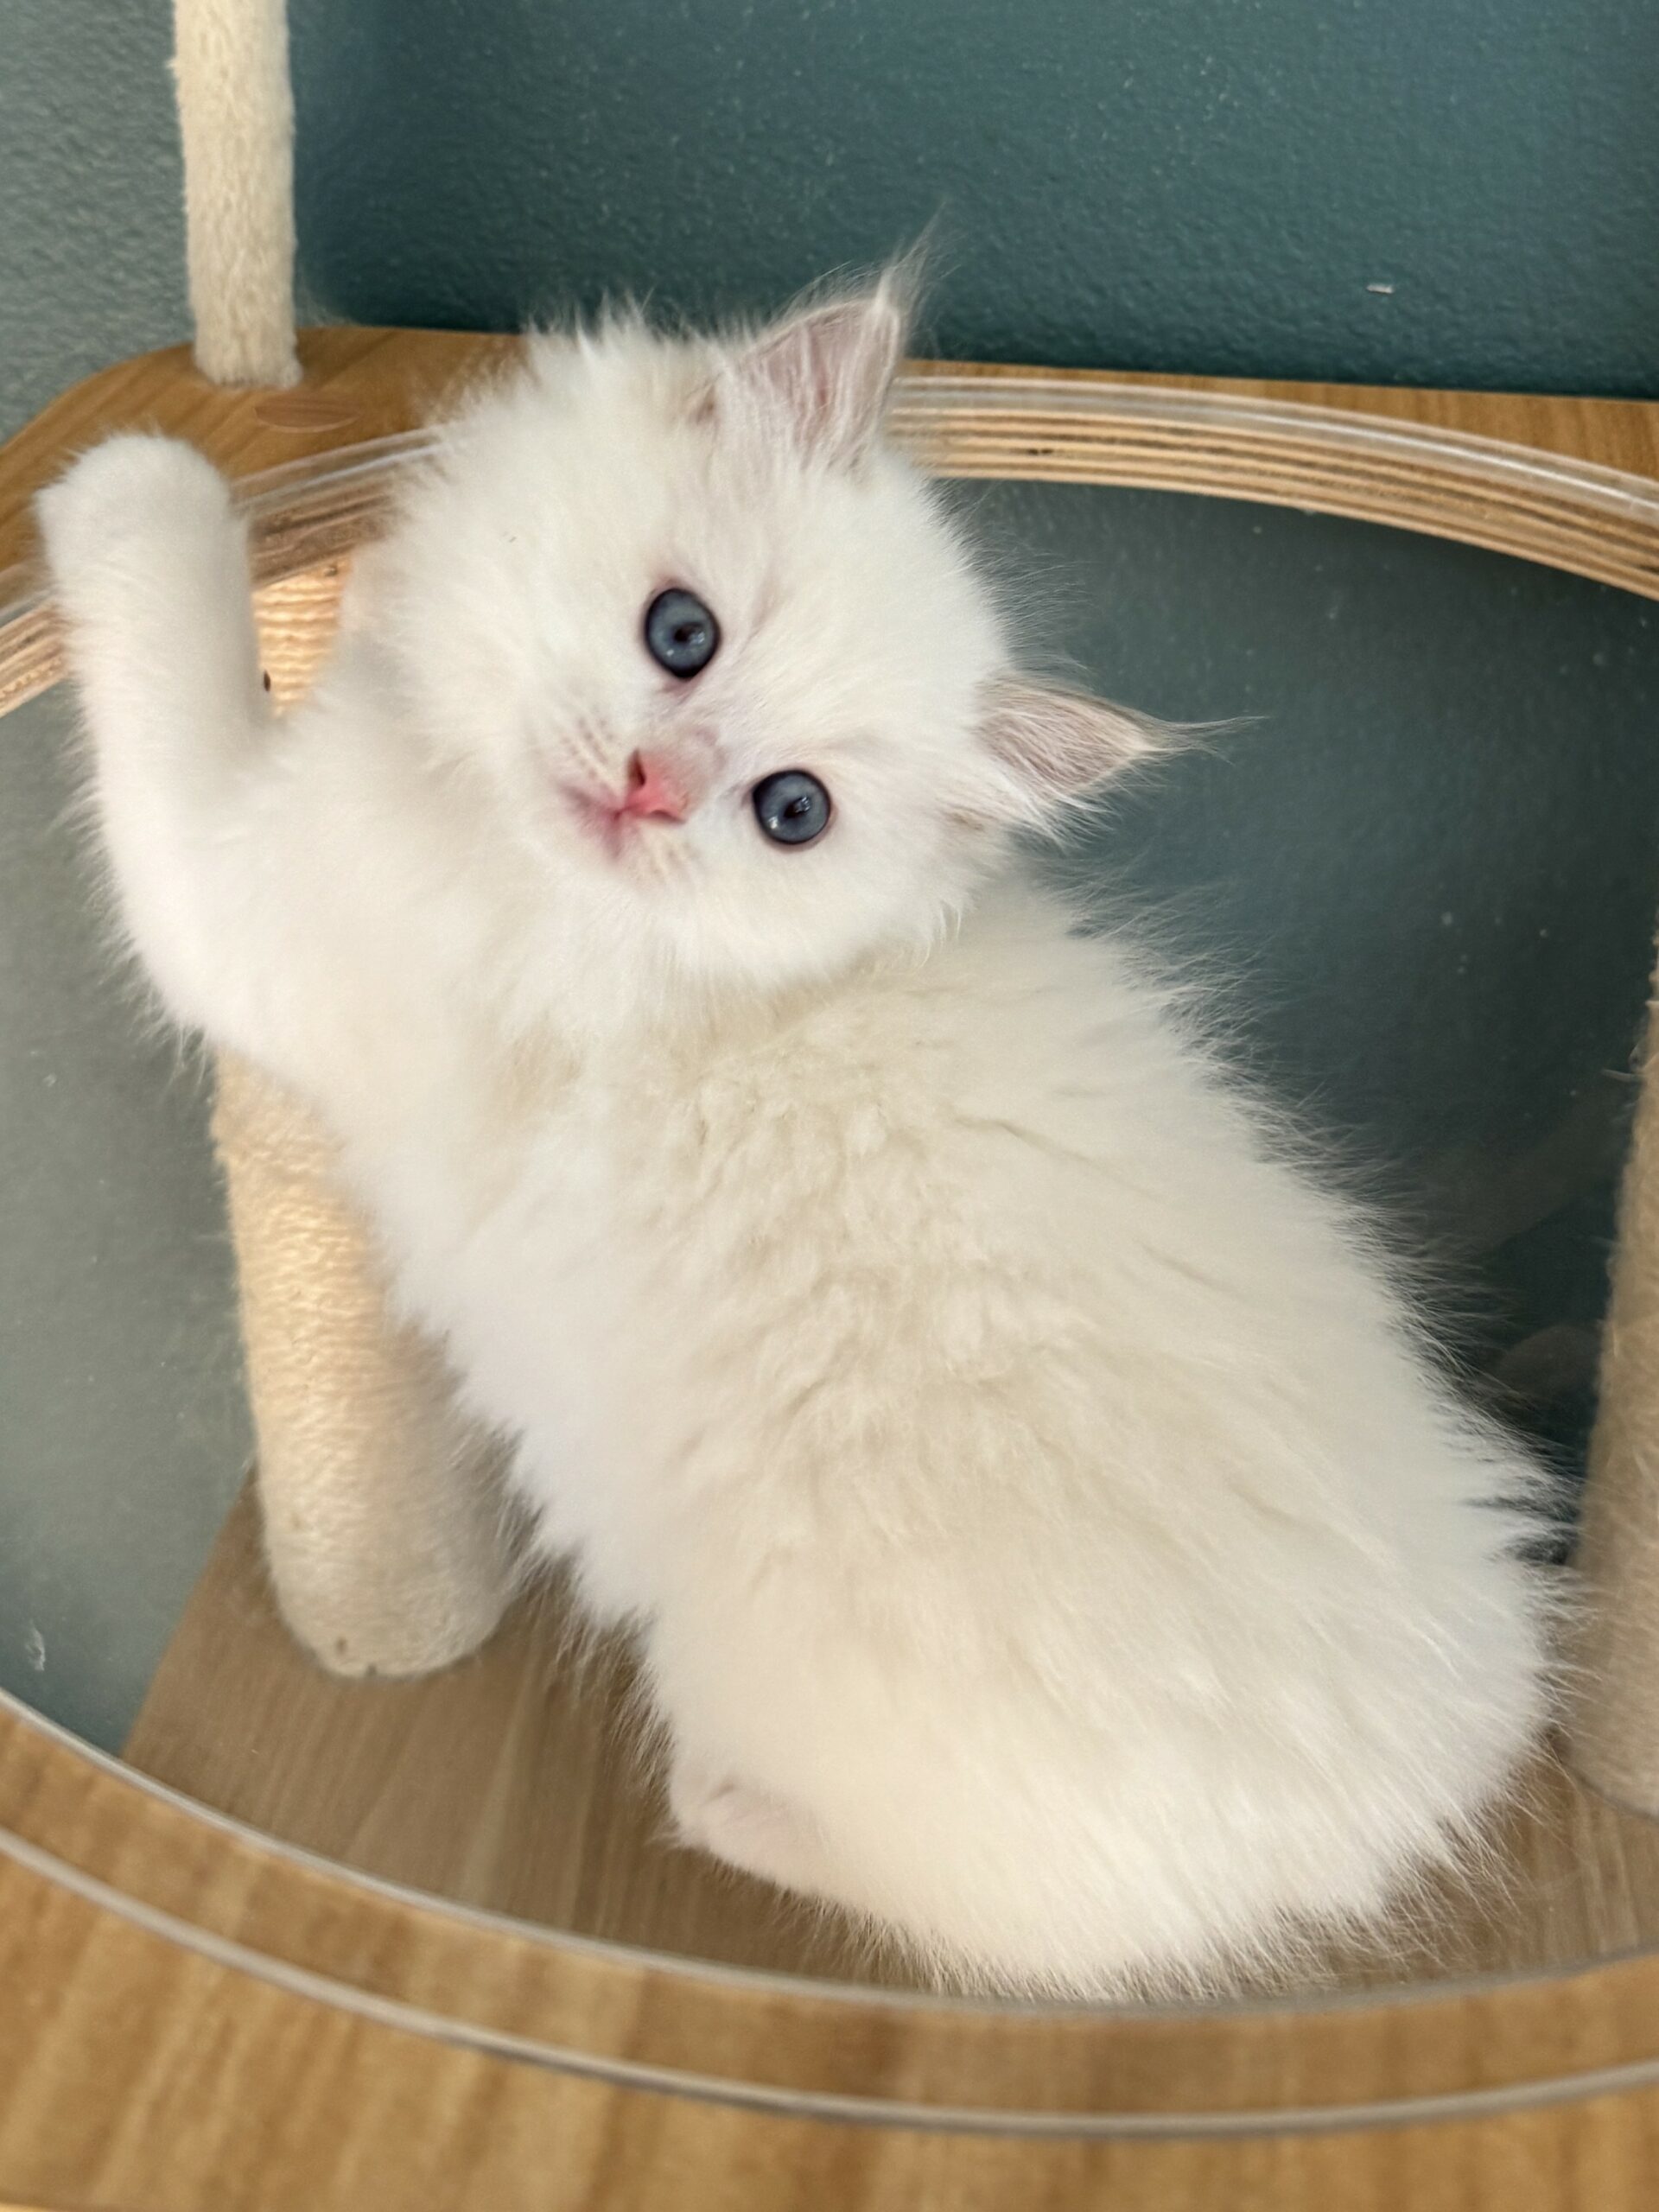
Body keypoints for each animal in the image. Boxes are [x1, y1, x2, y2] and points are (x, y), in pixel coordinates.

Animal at [45, 281, 1566, 2008]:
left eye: (788, 813)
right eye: (681, 635)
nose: (654, 792)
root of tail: (1443, 1765)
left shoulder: (249, 903)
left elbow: (167, 664)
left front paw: (136, 481)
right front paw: (368, 596)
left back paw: (716, 1805)